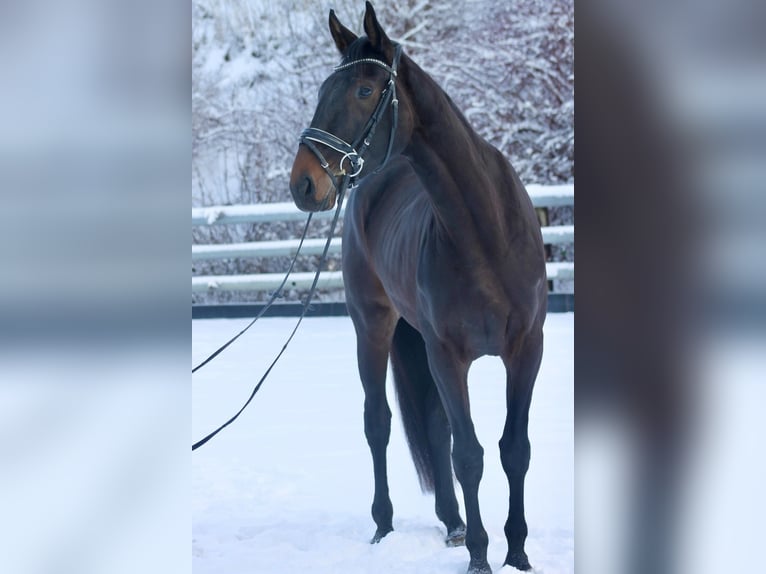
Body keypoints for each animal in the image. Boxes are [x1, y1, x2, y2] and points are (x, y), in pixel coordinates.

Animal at [288, 4, 547, 573]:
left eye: (365, 90)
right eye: (322, 89)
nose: (303, 183)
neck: (484, 233)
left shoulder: (525, 349)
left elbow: (514, 449)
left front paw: (517, 553)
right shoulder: (446, 354)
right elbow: (468, 455)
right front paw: (480, 557)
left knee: (432, 422)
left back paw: (452, 522)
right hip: (373, 327)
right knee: (379, 423)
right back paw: (384, 525)